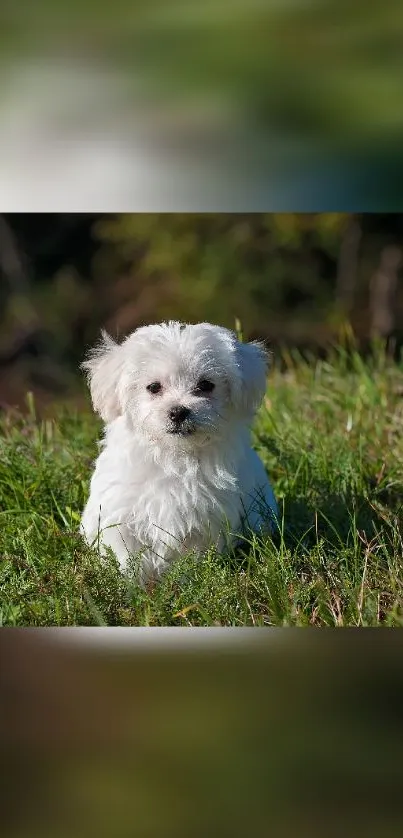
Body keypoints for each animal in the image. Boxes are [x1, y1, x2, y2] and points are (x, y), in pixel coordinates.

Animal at [80, 322, 280, 584]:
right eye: (154, 387)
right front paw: (132, 586)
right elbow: (126, 556)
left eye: (205, 385)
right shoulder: (121, 515)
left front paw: (187, 583)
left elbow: (192, 558)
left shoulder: (205, 521)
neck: (174, 455)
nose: (178, 412)